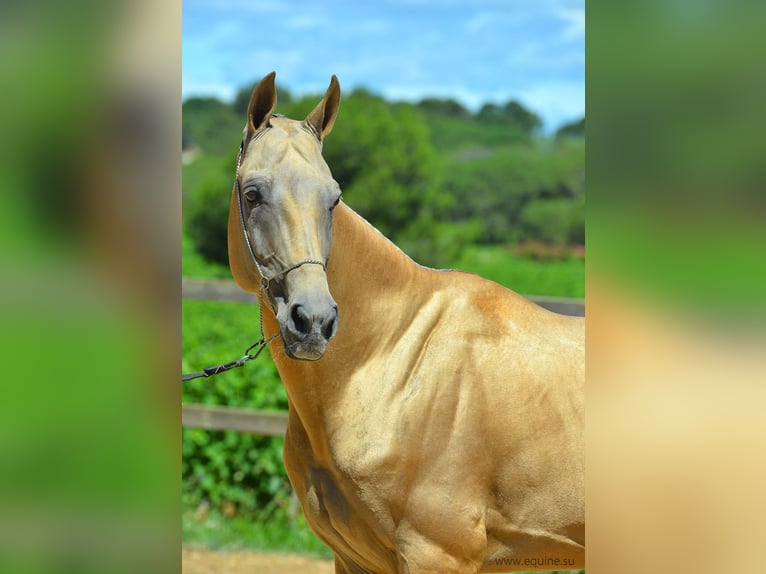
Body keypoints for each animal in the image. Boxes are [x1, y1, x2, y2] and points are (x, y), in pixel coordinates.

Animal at [230, 72, 588, 574]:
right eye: (252, 193)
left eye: (334, 199)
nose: (314, 320)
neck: (392, 362)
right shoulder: (354, 559)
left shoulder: (436, 554)